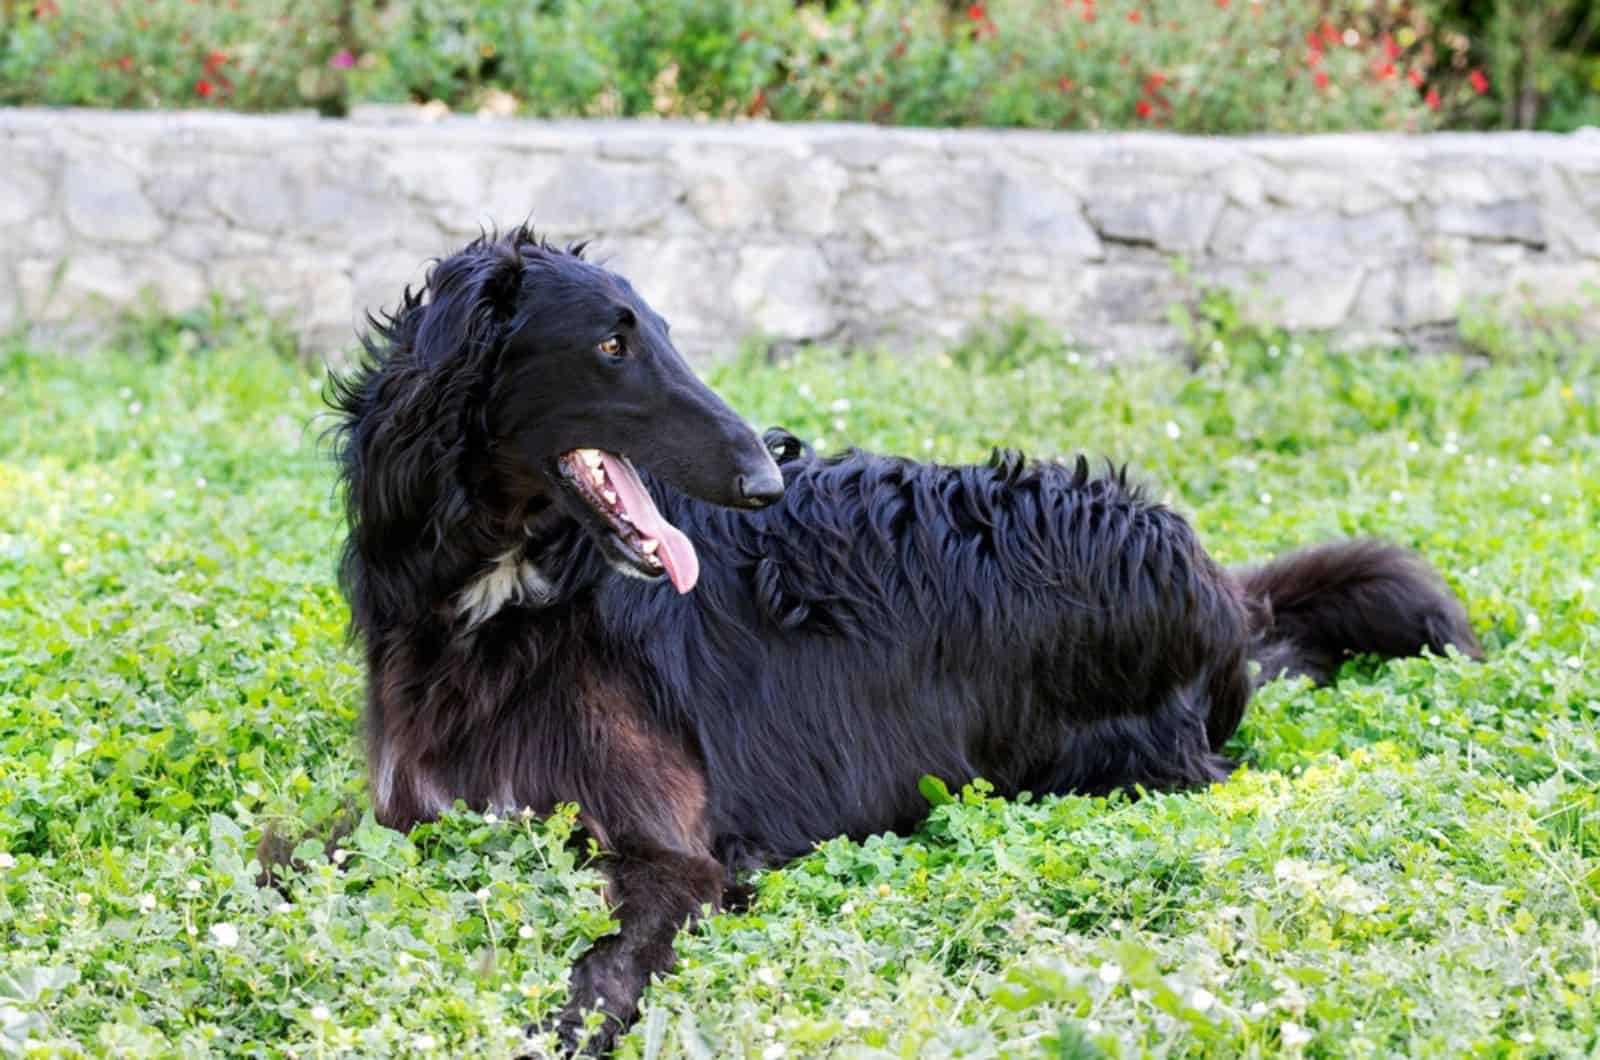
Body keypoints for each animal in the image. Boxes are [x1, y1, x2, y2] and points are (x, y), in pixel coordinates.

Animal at [318, 228, 1478, 1056]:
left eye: (666, 333)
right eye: (611, 344)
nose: (768, 473)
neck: (500, 598)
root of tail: (1205, 579)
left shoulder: (671, 853)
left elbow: (600, 964)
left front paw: (555, 1029)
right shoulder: (404, 811)